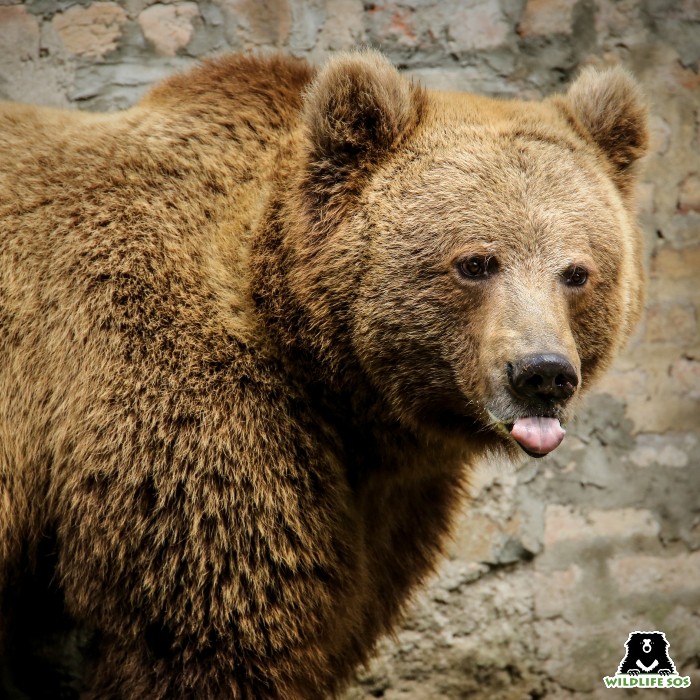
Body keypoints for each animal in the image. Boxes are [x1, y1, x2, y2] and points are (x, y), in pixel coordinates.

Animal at [0, 52, 648, 696]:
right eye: (475, 263)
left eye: (577, 272)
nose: (543, 374)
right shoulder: (189, 420)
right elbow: (211, 631)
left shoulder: (386, 503)